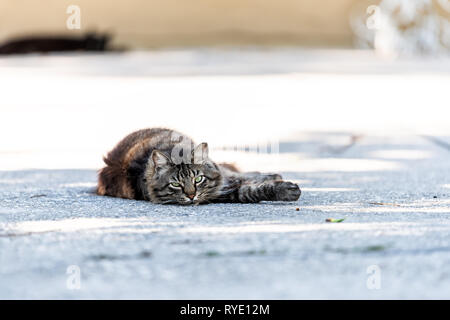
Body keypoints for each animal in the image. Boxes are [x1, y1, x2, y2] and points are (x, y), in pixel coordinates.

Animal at [98, 128, 302, 205]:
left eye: (198, 179)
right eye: (175, 184)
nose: (191, 195)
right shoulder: (224, 194)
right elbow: (250, 190)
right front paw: (284, 190)